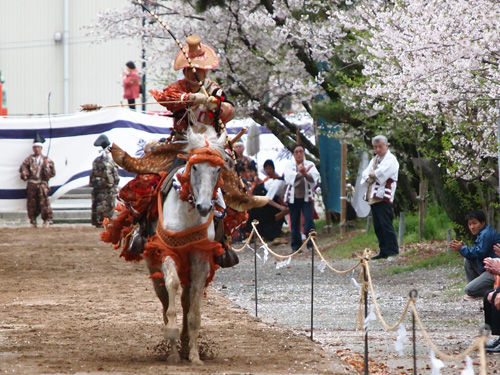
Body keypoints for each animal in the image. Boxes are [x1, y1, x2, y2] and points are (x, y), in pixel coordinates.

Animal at [145, 128, 227, 366]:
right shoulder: (167, 253)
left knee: (185, 300)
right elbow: (172, 287)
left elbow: (194, 309)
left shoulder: (201, 257)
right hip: (153, 267)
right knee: (165, 300)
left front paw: (194, 356)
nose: (205, 207)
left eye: (218, 169)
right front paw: (172, 351)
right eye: (195, 167)